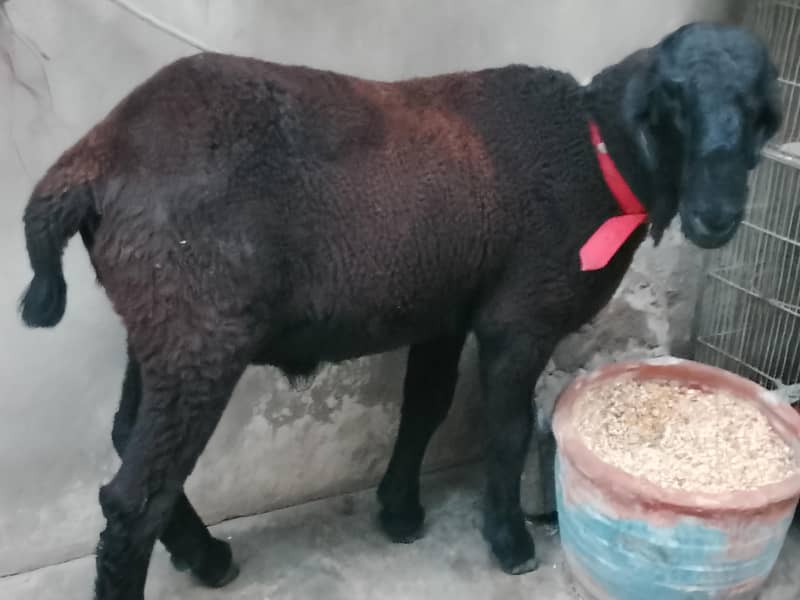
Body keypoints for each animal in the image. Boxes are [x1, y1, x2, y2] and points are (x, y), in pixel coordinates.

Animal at [19, 22, 779, 600]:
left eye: (758, 112)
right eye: (673, 100)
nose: (717, 216)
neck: (595, 157)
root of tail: (95, 160)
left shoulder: (444, 308)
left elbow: (424, 408)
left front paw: (400, 511)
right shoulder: (519, 316)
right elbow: (504, 430)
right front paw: (509, 542)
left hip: (159, 325)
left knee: (127, 438)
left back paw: (205, 555)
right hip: (199, 329)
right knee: (132, 497)